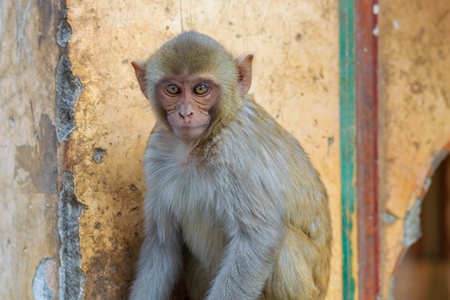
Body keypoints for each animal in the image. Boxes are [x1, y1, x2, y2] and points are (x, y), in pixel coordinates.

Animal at [128, 31, 332, 300]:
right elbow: (162, 245)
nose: (185, 113)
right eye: (173, 89)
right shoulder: (155, 154)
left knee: (285, 245)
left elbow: (258, 239)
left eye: (200, 89)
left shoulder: (236, 156)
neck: (196, 145)